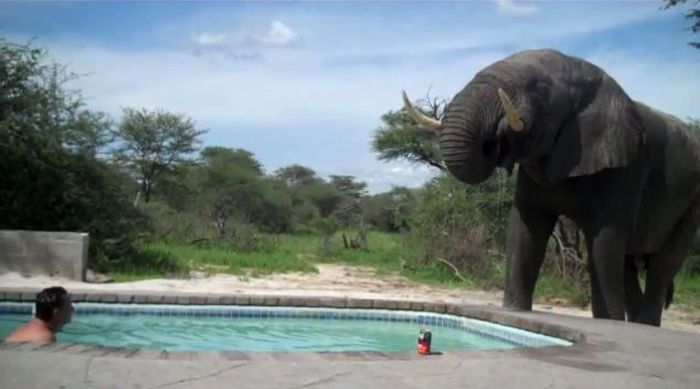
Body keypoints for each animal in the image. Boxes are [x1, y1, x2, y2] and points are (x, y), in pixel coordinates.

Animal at [400, 49, 700, 328]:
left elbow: (605, 239)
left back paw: (643, 325)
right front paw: (514, 310)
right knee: (628, 264)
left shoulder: (626, 166)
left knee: (663, 263)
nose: (497, 135)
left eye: (540, 88)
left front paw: (610, 323)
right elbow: (525, 227)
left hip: (691, 201)